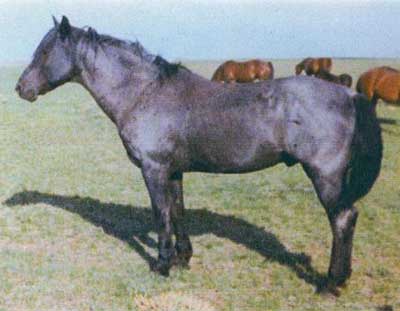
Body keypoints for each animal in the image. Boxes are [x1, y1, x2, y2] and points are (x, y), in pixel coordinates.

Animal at [15, 15, 382, 292]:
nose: (21, 88)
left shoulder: (153, 169)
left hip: (326, 177)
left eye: (45, 51)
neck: (144, 93)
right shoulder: (174, 171)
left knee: (343, 220)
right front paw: (183, 259)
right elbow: (178, 211)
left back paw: (332, 282)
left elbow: (161, 214)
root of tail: (349, 95)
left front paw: (162, 265)